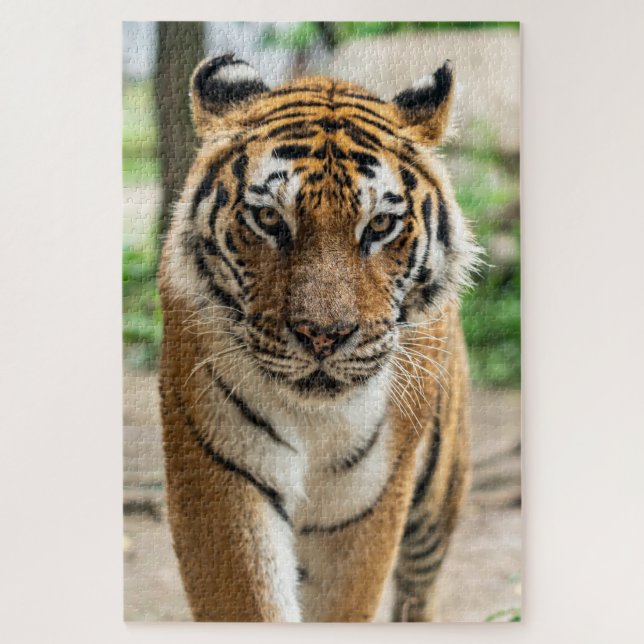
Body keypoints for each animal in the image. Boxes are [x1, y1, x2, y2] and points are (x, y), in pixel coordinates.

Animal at [158, 52, 480, 622]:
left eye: (380, 225)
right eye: (268, 218)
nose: (323, 336)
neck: (316, 420)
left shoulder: (365, 502)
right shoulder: (221, 472)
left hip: (439, 491)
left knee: (419, 588)